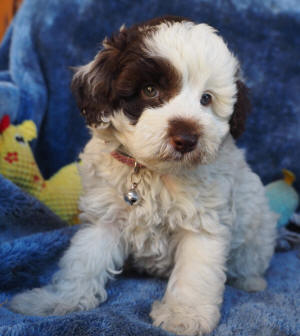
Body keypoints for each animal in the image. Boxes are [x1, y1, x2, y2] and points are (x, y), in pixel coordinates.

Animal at [9, 16, 276, 336]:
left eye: (206, 99)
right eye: (150, 91)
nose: (186, 138)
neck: (151, 170)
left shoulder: (202, 222)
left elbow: (195, 274)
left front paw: (184, 315)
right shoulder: (106, 217)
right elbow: (83, 261)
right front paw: (59, 301)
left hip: (258, 229)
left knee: (252, 257)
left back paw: (250, 281)